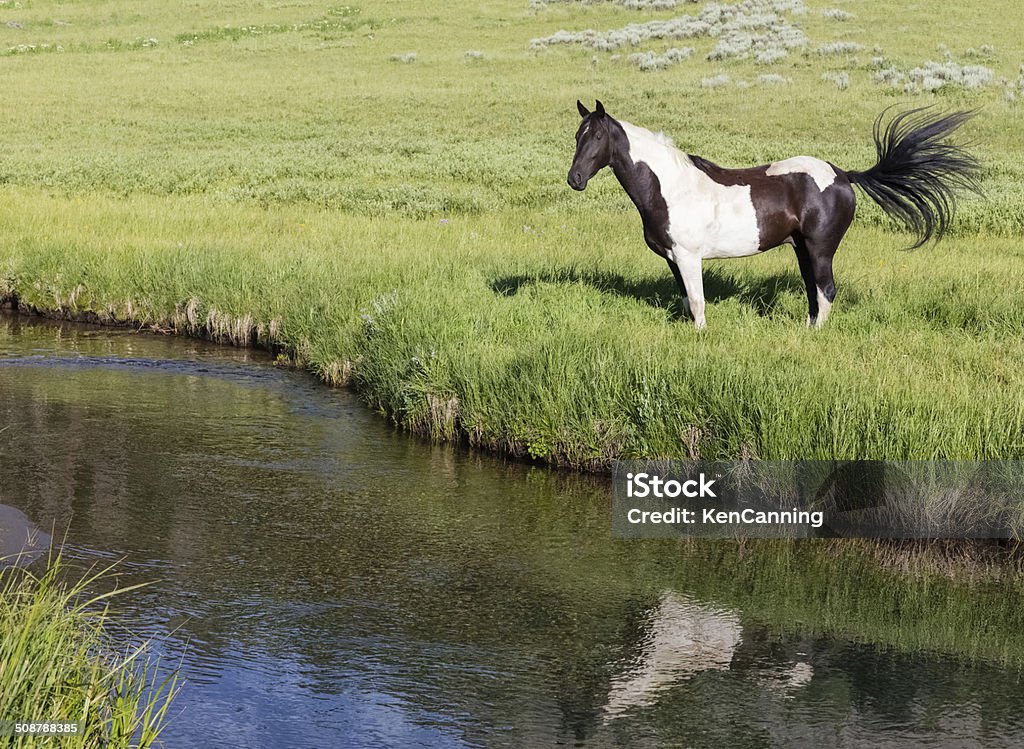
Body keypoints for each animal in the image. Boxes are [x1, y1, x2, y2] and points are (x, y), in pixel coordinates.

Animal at [569, 100, 974, 329]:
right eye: (577, 136)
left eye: (597, 138)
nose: (575, 179)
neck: (670, 188)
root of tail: (843, 175)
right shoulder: (673, 258)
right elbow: (686, 300)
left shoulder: (688, 256)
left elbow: (698, 301)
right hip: (802, 249)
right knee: (813, 292)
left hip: (820, 249)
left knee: (826, 291)